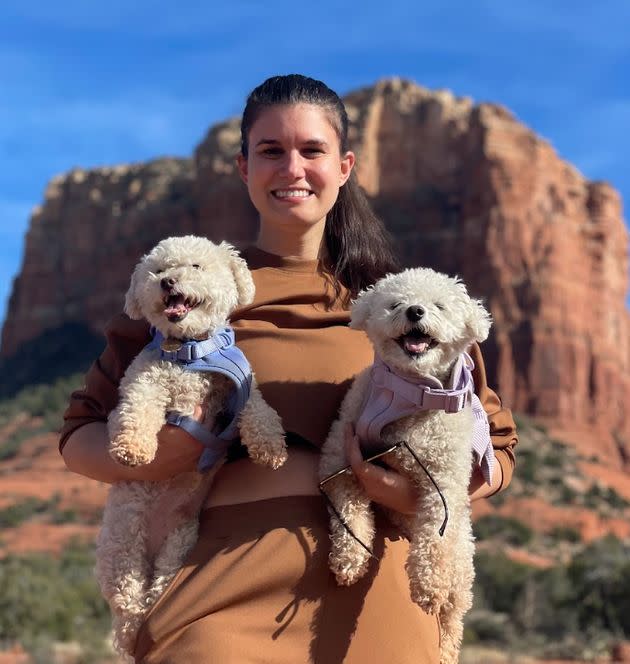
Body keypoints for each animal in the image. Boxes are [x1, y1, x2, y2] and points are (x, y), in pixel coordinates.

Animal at [97, 236, 288, 656]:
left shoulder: (239, 386)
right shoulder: (144, 380)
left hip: (178, 544)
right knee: (128, 605)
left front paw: (270, 446)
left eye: (195, 267)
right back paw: (133, 631)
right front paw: (132, 448)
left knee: (156, 589)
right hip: (122, 547)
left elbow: (259, 409)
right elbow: (137, 409)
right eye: (156, 270)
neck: (190, 353)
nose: (167, 282)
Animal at [320, 266, 494, 664]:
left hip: (462, 571)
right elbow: (349, 512)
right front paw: (350, 558)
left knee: (452, 619)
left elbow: (435, 539)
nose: (415, 311)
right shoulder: (339, 458)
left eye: (439, 306)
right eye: (395, 303)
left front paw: (427, 586)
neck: (410, 397)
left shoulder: (444, 482)